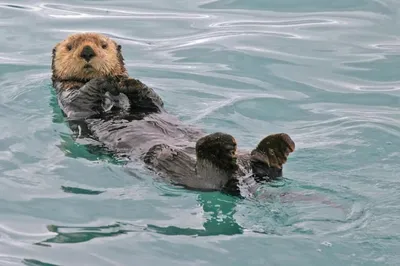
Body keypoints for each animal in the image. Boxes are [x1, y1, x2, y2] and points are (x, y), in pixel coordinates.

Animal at [51, 32, 296, 196]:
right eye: (70, 47)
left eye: (103, 45)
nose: (87, 51)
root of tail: (244, 179)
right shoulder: (69, 97)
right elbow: (82, 98)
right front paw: (105, 79)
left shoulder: (151, 104)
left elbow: (151, 100)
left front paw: (129, 82)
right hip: (163, 156)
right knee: (211, 180)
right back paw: (220, 149)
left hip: (246, 159)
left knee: (264, 167)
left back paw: (274, 148)